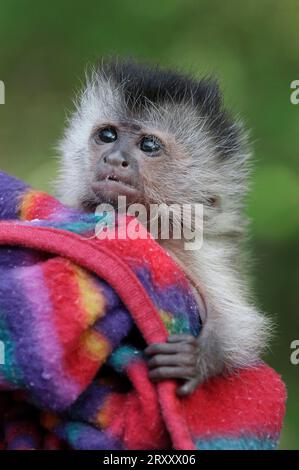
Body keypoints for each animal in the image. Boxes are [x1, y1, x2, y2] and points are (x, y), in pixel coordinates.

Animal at [55, 58, 270, 396]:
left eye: (149, 145)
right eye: (107, 136)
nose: (114, 158)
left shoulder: (198, 249)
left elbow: (241, 325)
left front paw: (197, 360)